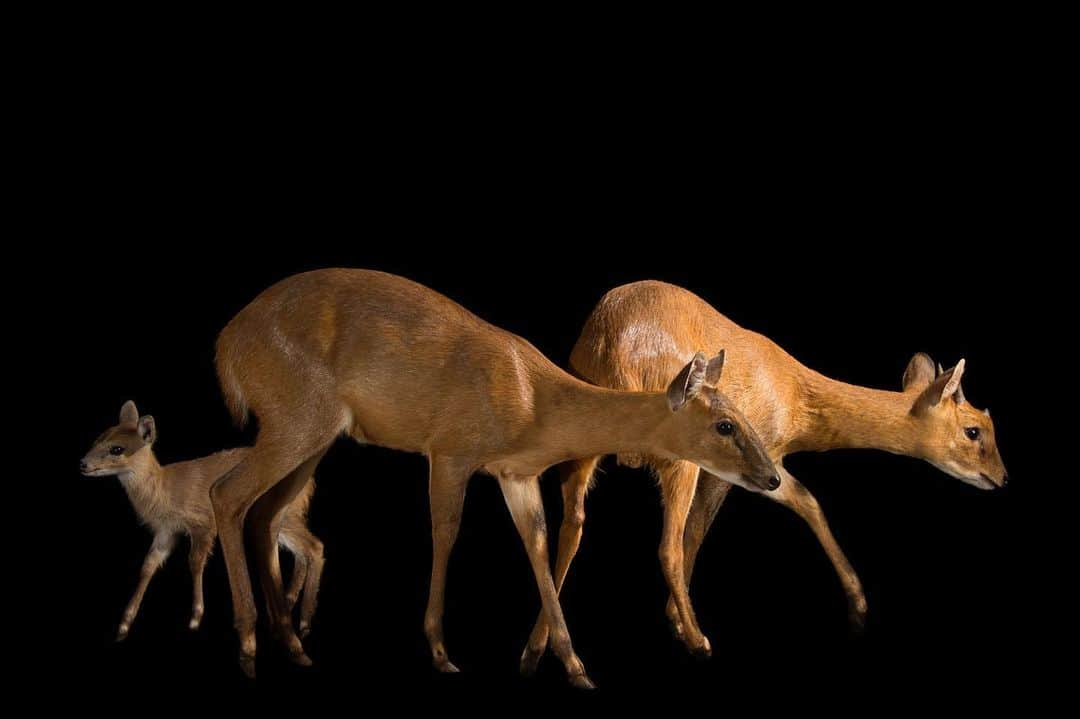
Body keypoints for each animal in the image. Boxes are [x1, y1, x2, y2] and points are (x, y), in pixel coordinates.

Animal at [78, 399, 324, 639]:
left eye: (117, 448)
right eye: (98, 438)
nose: (83, 463)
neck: (165, 490)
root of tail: (309, 481)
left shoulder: (202, 523)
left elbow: (194, 562)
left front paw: (195, 617)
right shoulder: (167, 530)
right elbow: (147, 566)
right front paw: (124, 625)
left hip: (281, 514)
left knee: (315, 546)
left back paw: (303, 622)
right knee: (301, 553)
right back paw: (287, 607)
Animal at [206, 267, 781, 682]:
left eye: (743, 413)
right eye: (725, 424)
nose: (772, 477)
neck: (535, 405)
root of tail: (226, 346)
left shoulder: (516, 474)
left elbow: (538, 544)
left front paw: (569, 664)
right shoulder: (450, 450)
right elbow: (446, 532)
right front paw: (440, 650)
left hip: (314, 436)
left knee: (264, 514)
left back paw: (291, 643)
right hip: (296, 418)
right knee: (226, 494)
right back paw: (250, 645)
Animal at [518, 280, 1006, 673]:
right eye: (974, 429)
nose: (1001, 478)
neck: (797, 399)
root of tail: (615, 352)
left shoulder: (754, 466)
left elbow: (795, 502)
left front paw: (858, 605)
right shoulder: (745, 462)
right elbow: (711, 528)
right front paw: (679, 623)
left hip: (581, 447)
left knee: (569, 528)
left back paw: (537, 649)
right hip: (679, 457)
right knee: (665, 545)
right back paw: (698, 642)